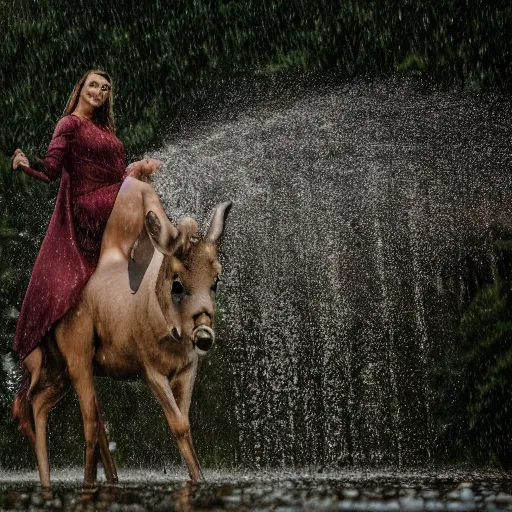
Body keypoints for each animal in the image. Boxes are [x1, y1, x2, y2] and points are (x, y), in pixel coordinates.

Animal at [12, 175, 232, 488]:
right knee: (85, 421)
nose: (203, 336)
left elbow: (186, 423)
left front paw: (199, 479)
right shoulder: (150, 370)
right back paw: (82, 483)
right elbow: (177, 424)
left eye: (215, 280)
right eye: (177, 284)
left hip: (62, 368)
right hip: (76, 357)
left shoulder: (188, 368)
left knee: (43, 404)